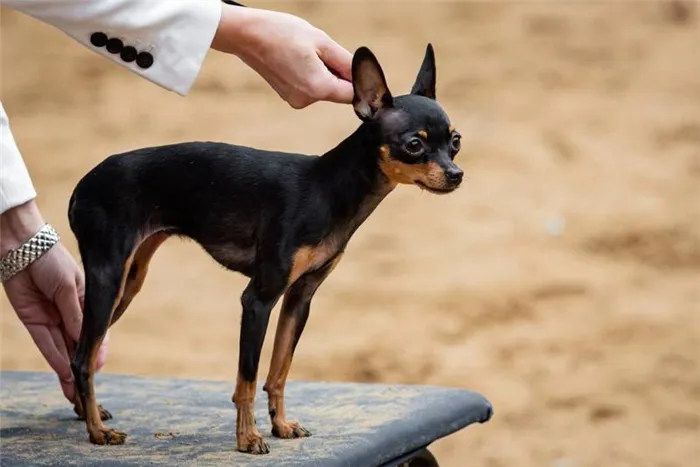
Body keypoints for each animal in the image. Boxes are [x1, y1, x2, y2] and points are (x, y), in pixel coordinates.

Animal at [68, 43, 462, 454]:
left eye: (455, 141)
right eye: (414, 145)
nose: (456, 175)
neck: (328, 190)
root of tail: (84, 184)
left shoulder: (299, 298)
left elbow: (279, 371)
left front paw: (280, 424)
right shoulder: (258, 300)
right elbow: (248, 379)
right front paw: (248, 437)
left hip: (129, 282)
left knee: (78, 348)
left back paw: (86, 412)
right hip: (109, 279)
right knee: (82, 358)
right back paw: (97, 431)